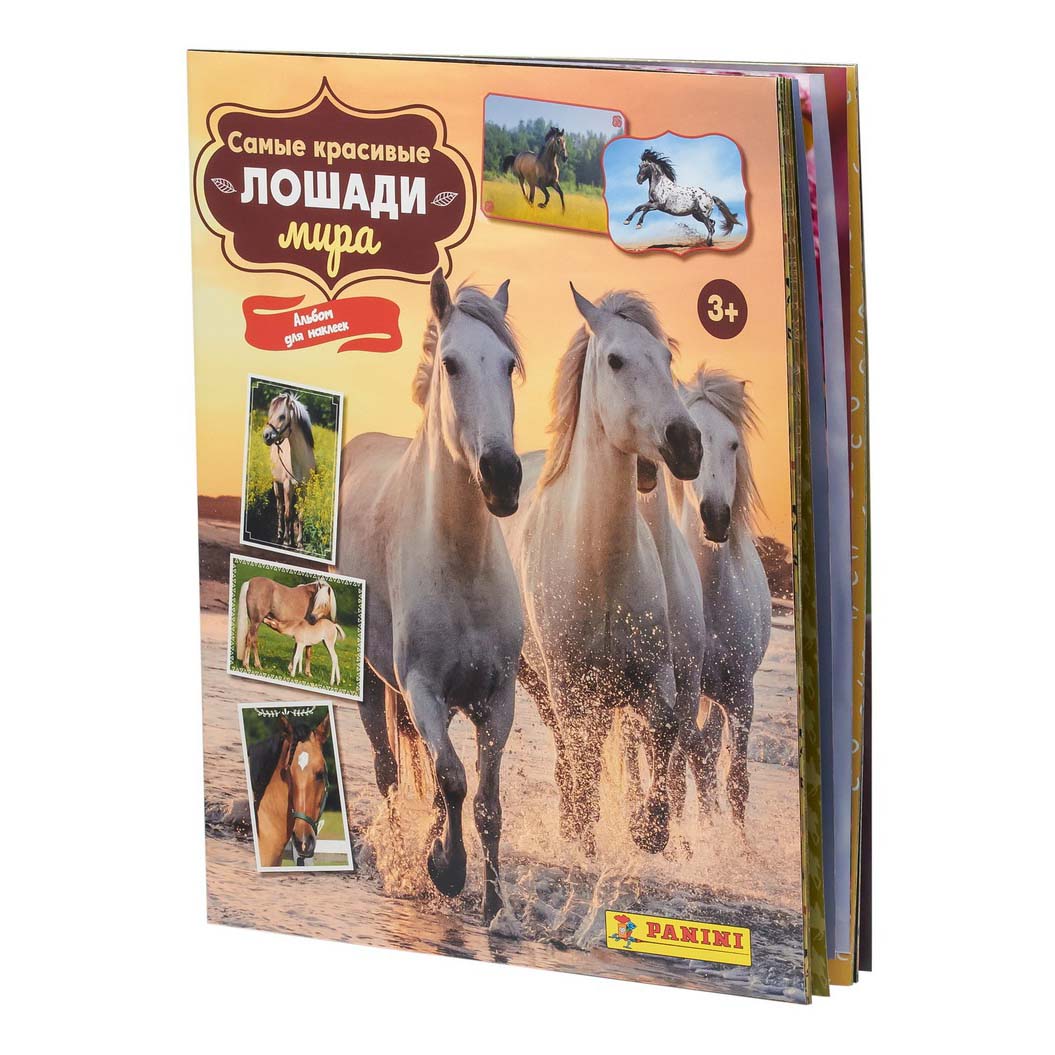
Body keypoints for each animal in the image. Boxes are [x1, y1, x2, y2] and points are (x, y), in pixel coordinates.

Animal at [262, 391, 316, 548]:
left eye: (282, 416)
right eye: (270, 414)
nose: (266, 436)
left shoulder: (303, 488)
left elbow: (300, 515)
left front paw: (300, 543)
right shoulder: (287, 485)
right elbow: (287, 514)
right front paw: (286, 541)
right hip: (277, 484)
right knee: (281, 509)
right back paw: (281, 535)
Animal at [335, 270, 524, 923]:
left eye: (509, 365)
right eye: (451, 363)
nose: (502, 476)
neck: (460, 563)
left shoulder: (497, 699)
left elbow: (486, 800)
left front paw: (496, 908)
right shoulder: (422, 689)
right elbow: (452, 779)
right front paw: (444, 868)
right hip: (375, 690)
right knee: (390, 774)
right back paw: (398, 862)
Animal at [502, 287, 702, 858]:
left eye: (667, 359)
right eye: (615, 360)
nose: (687, 444)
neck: (601, 569)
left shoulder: (654, 676)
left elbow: (664, 730)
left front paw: (649, 828)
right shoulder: (571, 687)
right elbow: (584, 763)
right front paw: (585, 837)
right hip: (539, 682)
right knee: (569, 756)